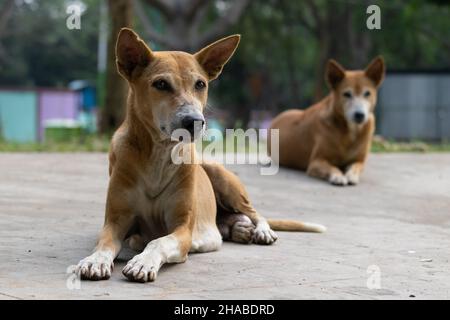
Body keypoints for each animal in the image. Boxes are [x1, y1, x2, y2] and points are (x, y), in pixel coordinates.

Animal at [75, 28, 326, 282]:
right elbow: (105, 242)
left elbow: (159, 242)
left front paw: (143, 262)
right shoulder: (116, 220)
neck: (159, 153)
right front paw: (96, 260)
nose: (195, 121)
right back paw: (237, 228)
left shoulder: (183, 228)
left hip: (223, 178)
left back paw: (260, 230)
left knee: (254, 212)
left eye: (200, 84)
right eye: (161, 84)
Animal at [268, 57, 384, 185]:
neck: (349, 132)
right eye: (347, 94)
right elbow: (331, 167)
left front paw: (352, 175)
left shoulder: (359, 161)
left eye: (367, 93)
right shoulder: (316, 162)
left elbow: (355, 167)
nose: (359, 115)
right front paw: (337, 176)